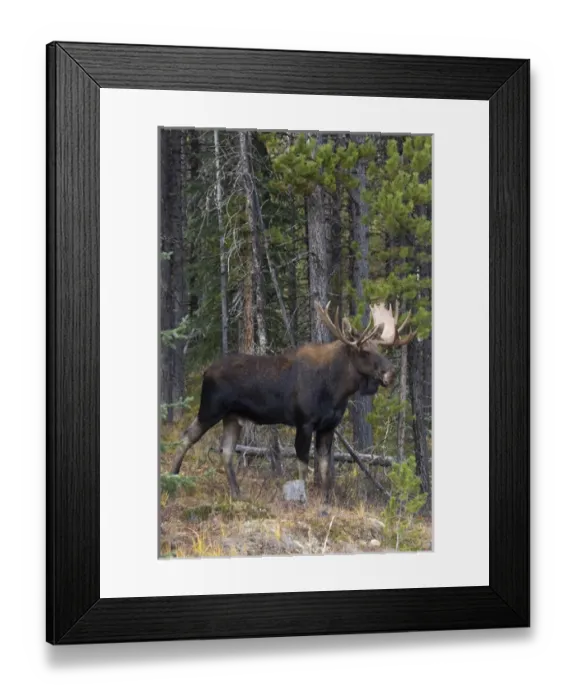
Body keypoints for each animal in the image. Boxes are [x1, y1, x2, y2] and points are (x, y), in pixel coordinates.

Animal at [169, 300, 416, 503]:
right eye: (364, 351)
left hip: (233, 417)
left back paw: (237, 493)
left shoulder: (328, 426)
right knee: (187, 436)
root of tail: (205, 371)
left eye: (380, 348)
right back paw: (172, 477)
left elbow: (325, 468)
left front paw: (327, 502)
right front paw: (302, 498)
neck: (337, 390)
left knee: (226, 450)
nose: (391, 373)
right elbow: (303, 465)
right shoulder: (304, 422)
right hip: (210, 408)